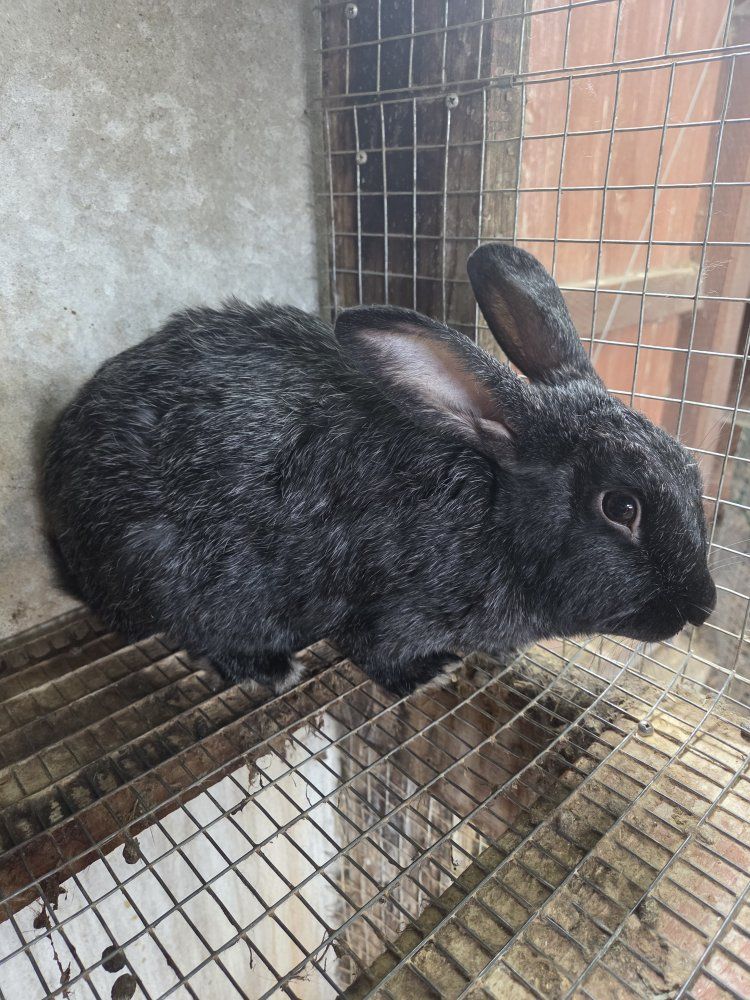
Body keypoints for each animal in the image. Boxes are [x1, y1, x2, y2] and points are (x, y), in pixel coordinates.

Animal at [43, 244, 716, 695]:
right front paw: (431, 673)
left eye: (690, 471)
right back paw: (271, 668)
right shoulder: (396, 609)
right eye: (621, 507)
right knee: (202, 632)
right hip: (177, 572)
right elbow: (381, 652)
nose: (702, 606)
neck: (494, 511)